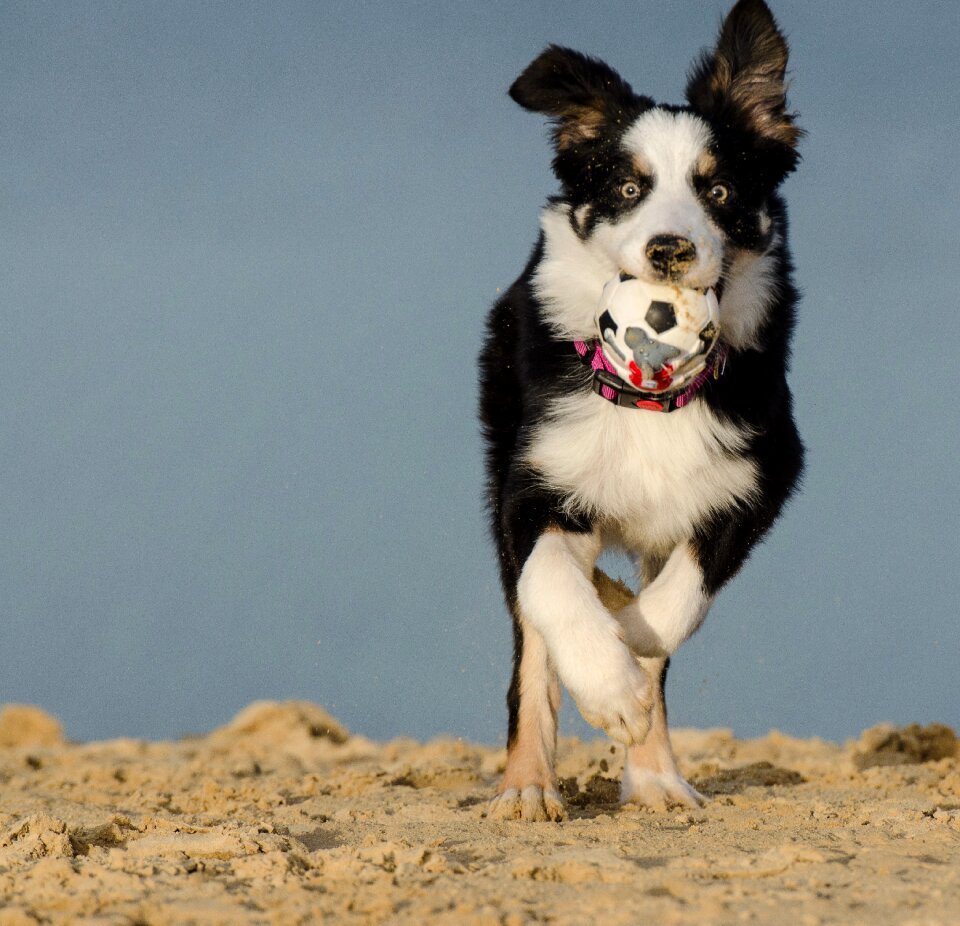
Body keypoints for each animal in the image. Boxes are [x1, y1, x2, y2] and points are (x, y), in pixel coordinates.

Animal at [478, 0, 804, 828]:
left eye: (718, 192)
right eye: (628, 188)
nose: (669, 249)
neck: (651, 397)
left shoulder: (759, 477)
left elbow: (677, 603)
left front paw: (628, 649)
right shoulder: (536, 481)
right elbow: (549, 589)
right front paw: (608, 681)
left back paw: (657, 779)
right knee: (532, 641)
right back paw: (529, 787)